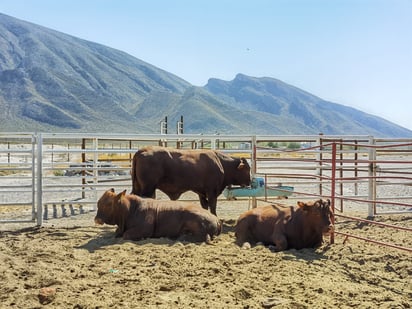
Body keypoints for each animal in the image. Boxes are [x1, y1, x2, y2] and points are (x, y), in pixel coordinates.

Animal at [94, 186, 222, 242]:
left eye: (108, 204)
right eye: (98, 202)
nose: (96, 219)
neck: (132, 209)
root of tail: (216, 218)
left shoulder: (145, 228)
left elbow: (126, 235)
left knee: (203, 237)